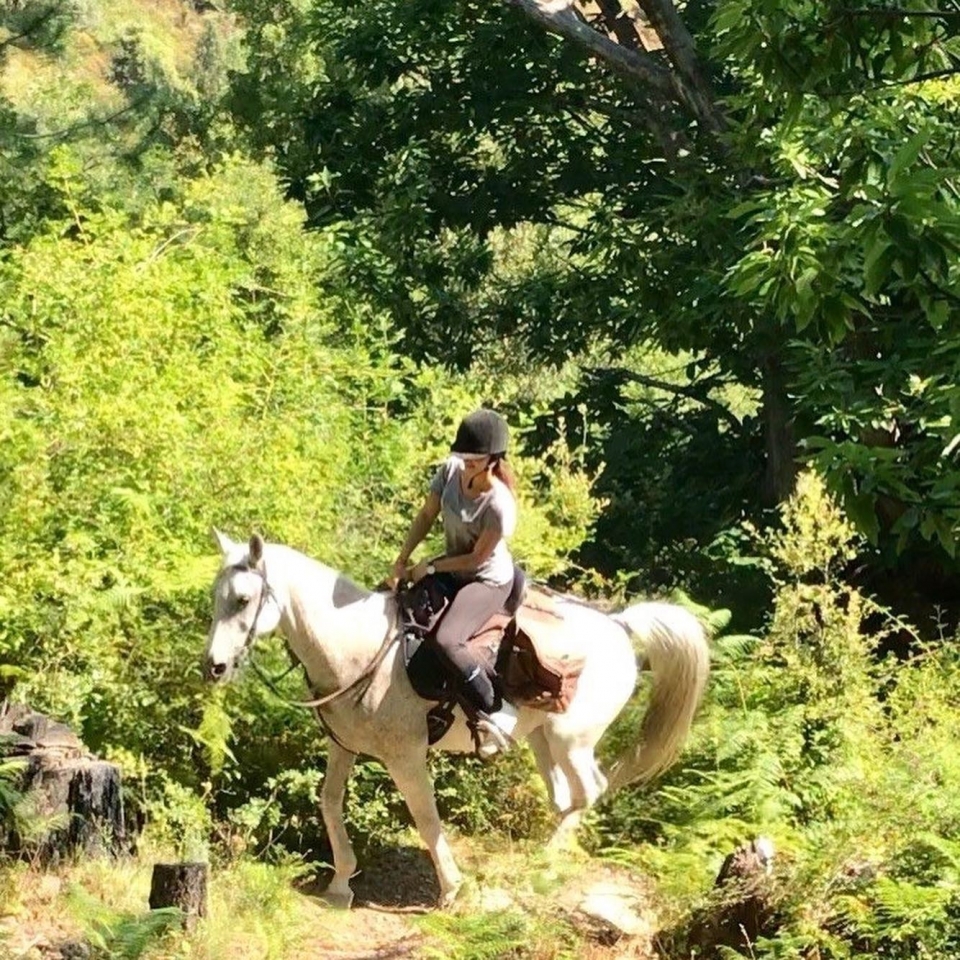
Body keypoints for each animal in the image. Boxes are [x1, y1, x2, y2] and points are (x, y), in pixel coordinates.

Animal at [203, 531, 710, 908]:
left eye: (244, 599)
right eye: (216, 596)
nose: (214, 666)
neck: (360, 648)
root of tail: (621, 627)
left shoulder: (406, 757)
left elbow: (426, 818)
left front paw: (451, 889)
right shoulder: (342, 746)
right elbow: (329, 802)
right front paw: (341, 882)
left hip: (573, 739)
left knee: (591, 789)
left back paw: (546, 864)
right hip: (543, 739)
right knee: (566, 797)